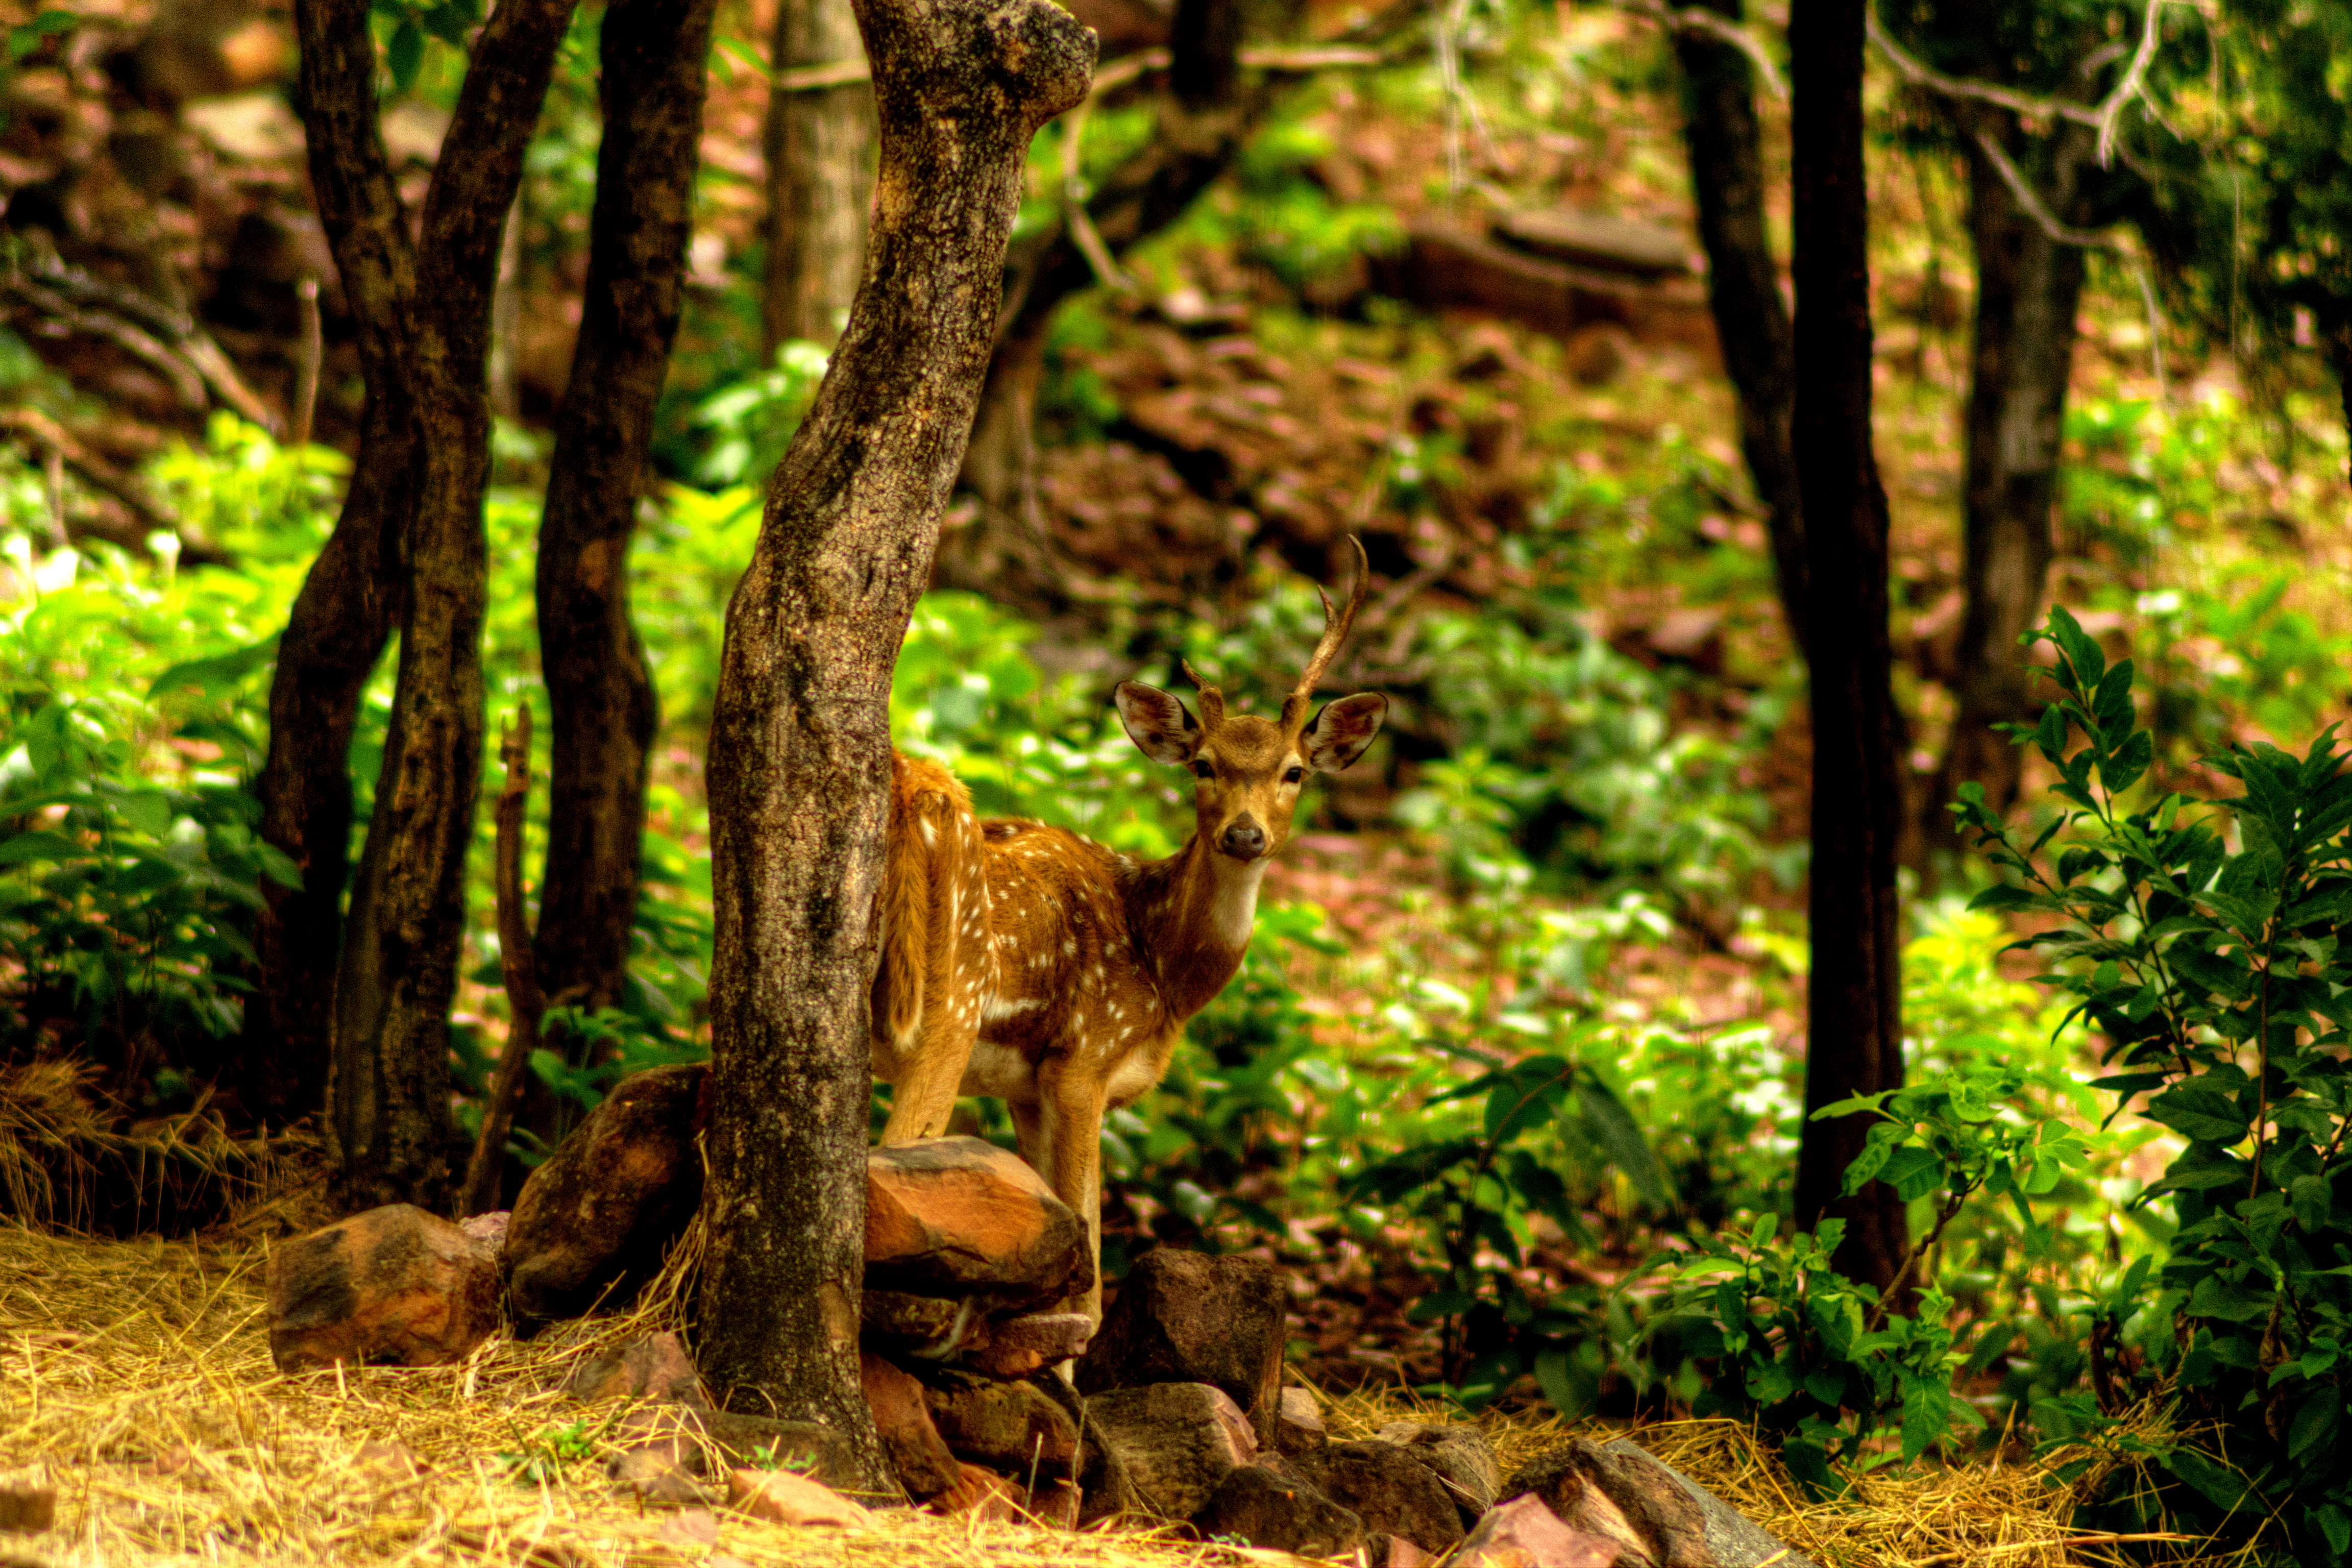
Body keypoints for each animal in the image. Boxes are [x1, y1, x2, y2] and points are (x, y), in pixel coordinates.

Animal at [870, 541, 1387, 1321]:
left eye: (1294, 771)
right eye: (1204, 764)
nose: (1245, 834)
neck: (1164, 971)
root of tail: (913, 789)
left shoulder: (1030, 1087)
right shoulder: (1084, 1058)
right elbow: (1086, 1254)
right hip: (949, 1006)